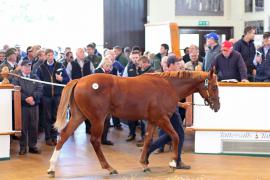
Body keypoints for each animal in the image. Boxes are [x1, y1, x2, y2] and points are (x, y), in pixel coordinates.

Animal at [47, 70, 219, 177]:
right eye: (214, 87)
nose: (217, 106)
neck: (168, 85)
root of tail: (80, 80)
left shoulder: (152, 120)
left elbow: (148, 139)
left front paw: (144, 164)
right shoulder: (162, 118)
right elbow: (176, 136)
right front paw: (172, 162)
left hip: (79, 116)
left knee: (64, 135)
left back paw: (52, 168)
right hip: (97, 119)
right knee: (95, 141)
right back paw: (109, 168)